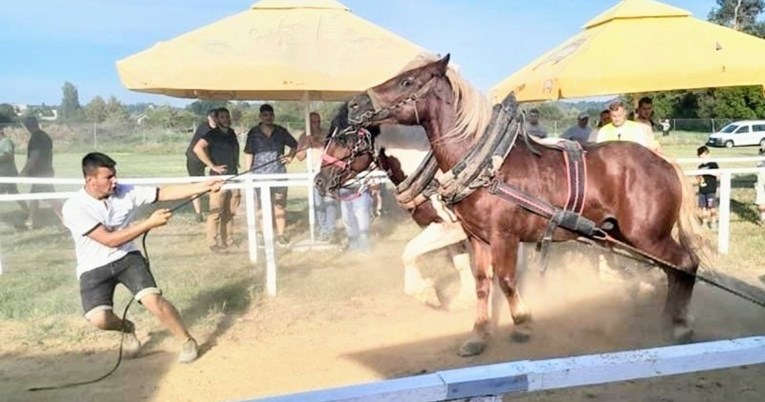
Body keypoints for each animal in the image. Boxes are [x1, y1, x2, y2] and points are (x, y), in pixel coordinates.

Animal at [314, 104, 478, 310]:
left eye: (343, 139)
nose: (319, 181)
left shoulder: (453, 227)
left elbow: (409, 252)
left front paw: (423, 291)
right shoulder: (443, 225)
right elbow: (460, 262)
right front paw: (466, 298)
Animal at [340, 52, 704, 354]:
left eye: (407, 81)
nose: (354, 105)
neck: (486, 167)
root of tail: (663, 162)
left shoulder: (504, 236)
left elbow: (506, 280)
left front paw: (522, 324)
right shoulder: (476, 237)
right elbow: (482, 284)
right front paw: (478, 334)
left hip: (647, 235)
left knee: (686, 263)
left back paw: (680, 324)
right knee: (672, 269)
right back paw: (667, 317)